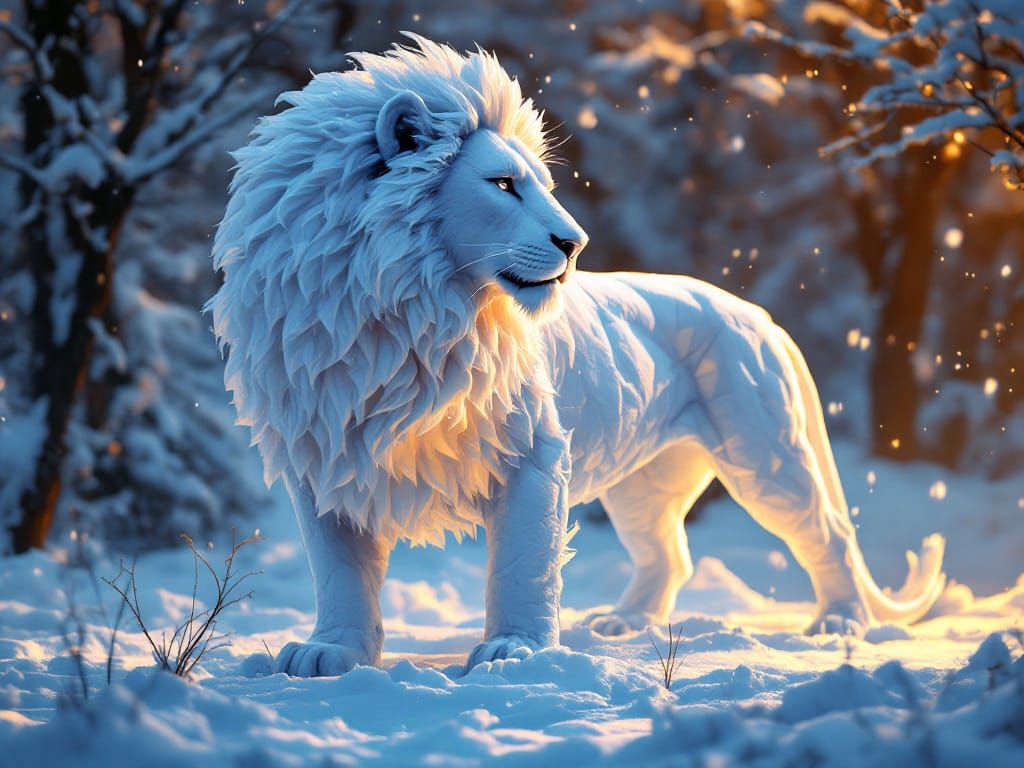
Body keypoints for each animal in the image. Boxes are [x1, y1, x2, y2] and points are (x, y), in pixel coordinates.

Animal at [208, 34, 946, 677]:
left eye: (536, 183)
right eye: (503, 184)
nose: (576, 243)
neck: (395, 308)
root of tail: (757, 314)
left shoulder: (531, 449)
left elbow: (522, 564)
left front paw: (513, 652)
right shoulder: (323, 453)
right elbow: (339, 571)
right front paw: (329, 653)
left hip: (765, 454)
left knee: (829, 533)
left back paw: (839, 624)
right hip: (643, 482)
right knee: (670, 554)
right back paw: (622, 625)